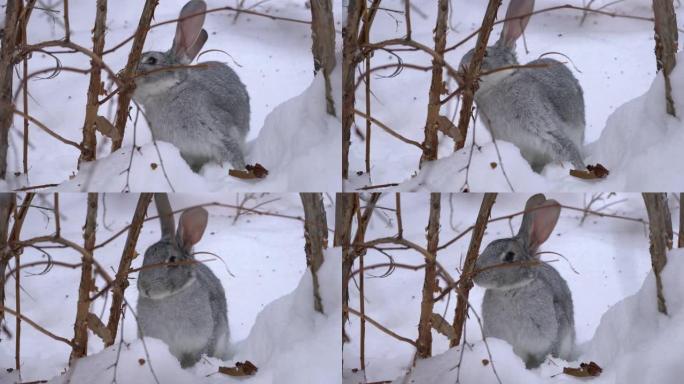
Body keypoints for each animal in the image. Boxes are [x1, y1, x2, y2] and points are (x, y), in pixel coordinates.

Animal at [456, 0, 584, 171]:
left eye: (485, 54)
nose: (460, 73)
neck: (498, 84)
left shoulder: (545, 129)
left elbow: (566, 148)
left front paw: (581, 168)